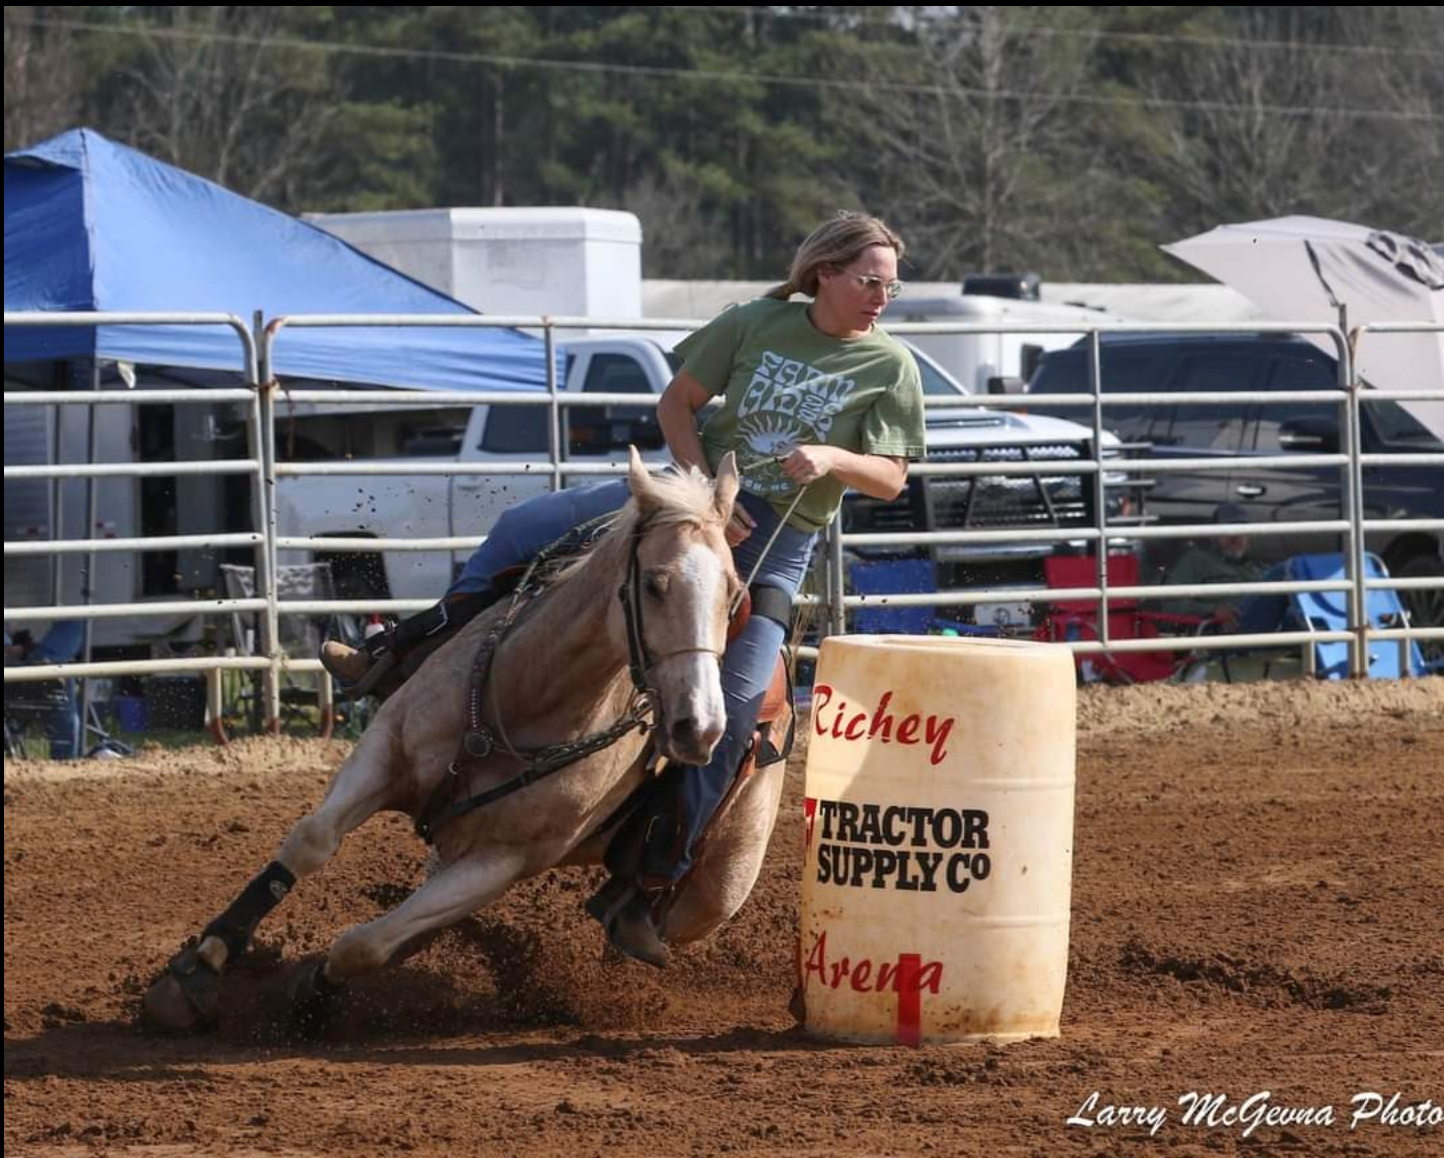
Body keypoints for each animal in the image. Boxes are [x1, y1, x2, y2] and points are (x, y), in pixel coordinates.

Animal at [144, 450, 793, 1032]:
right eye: (655, 584)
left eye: (733, 593)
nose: (698, 727)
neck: (526, 698)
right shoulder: (386, 748)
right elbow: (310, 842)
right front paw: (201, 966)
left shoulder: (503, 860)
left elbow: (364, 946)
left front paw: (313, 992)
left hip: (710, 897)